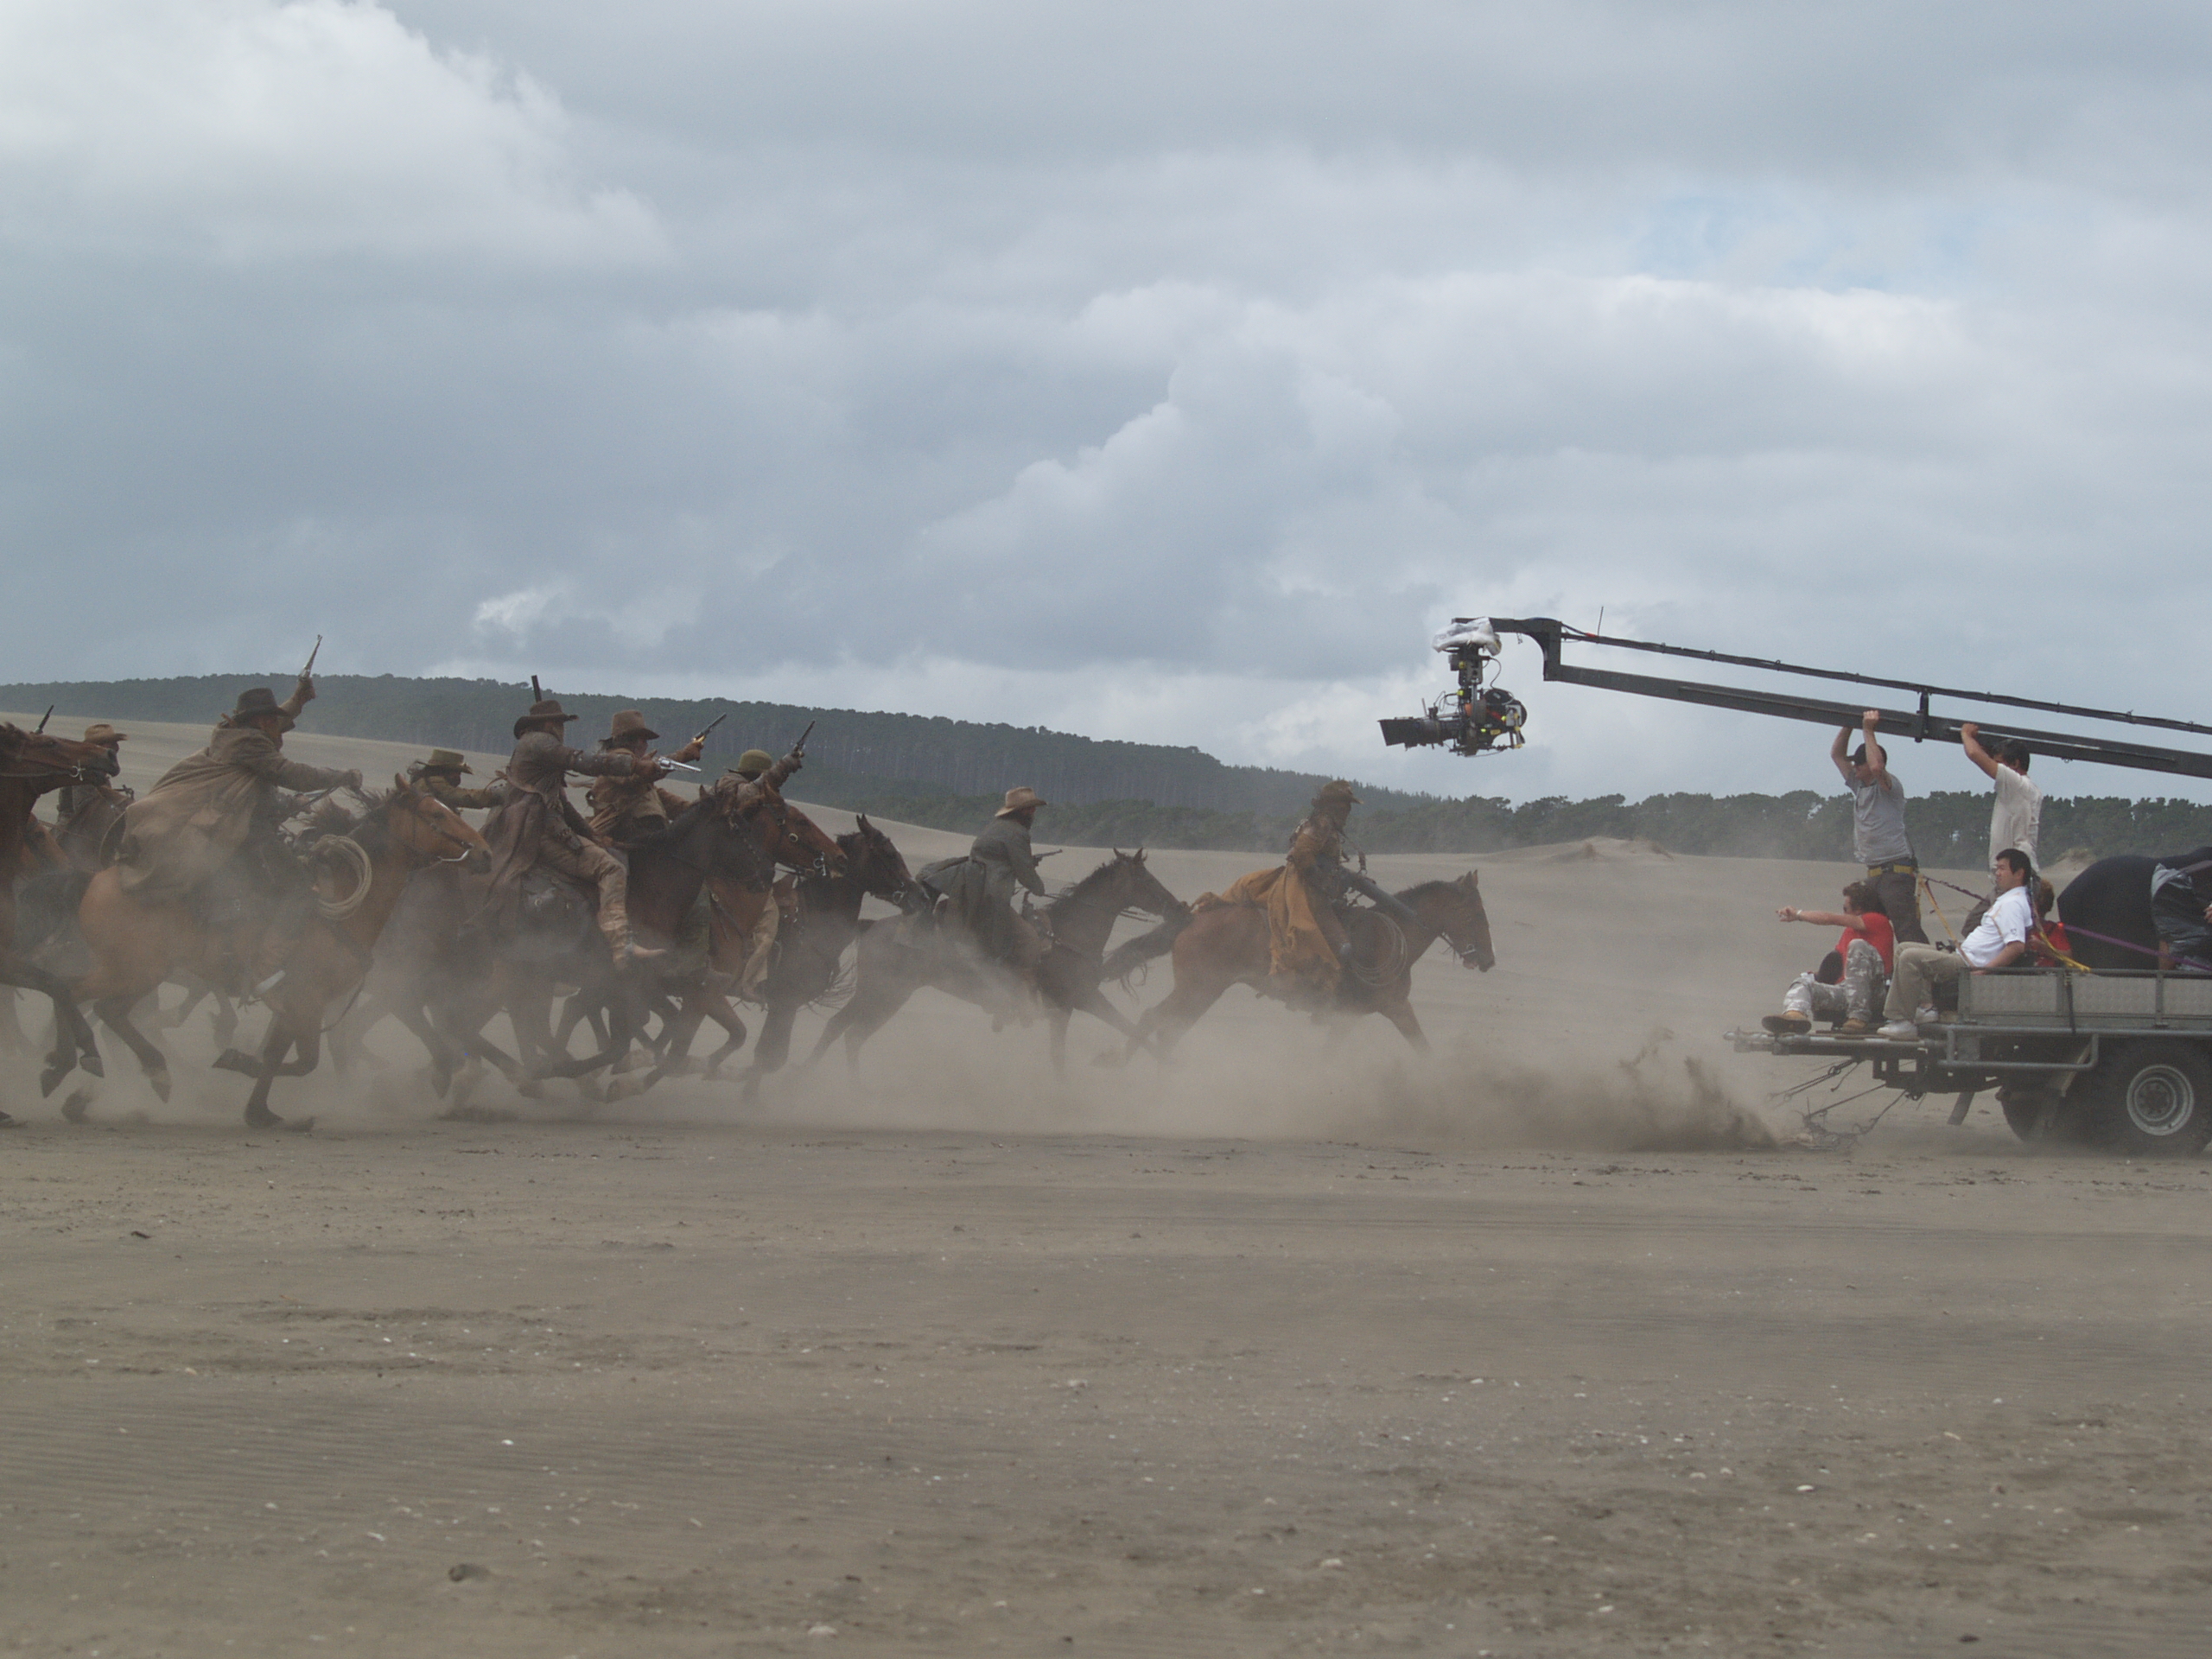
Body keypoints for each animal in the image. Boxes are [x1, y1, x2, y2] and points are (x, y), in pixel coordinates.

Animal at [67, 783, 486, 1132]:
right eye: (435, 814)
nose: (484, 852)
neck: (344, 906)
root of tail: (102, 878)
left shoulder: (293, 1002)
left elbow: (278, 1055)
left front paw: (258, 1111)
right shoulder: (308, 1000)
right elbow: (303, 1062)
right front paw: (237, 1064)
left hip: (140, 972)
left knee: (107, 1011)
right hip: (133, 971)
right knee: (75, 996)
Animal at [809, 858, 1194, 1079]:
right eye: (1146, 879)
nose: (1180, 907)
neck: (1067, 933)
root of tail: (871, 927)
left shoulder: (1068, 1007)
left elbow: (1098, 1037)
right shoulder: (1079, 1000)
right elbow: (1108, 1034)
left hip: (883, 995)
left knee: (846, 1032)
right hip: (884, 993)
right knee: (845, 1031)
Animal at [1115, 871, 1495, 1065]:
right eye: (1476, 914)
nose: (1488, 960)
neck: (1392, 932)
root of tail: (1192, 920)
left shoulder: (1352, 1016)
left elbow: (1328, 1055)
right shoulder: (1396, 1007)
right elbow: (1423, 1050)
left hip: (1200, 992)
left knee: (1167, 1029)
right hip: (1198, 989)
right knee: (1155, 1020)